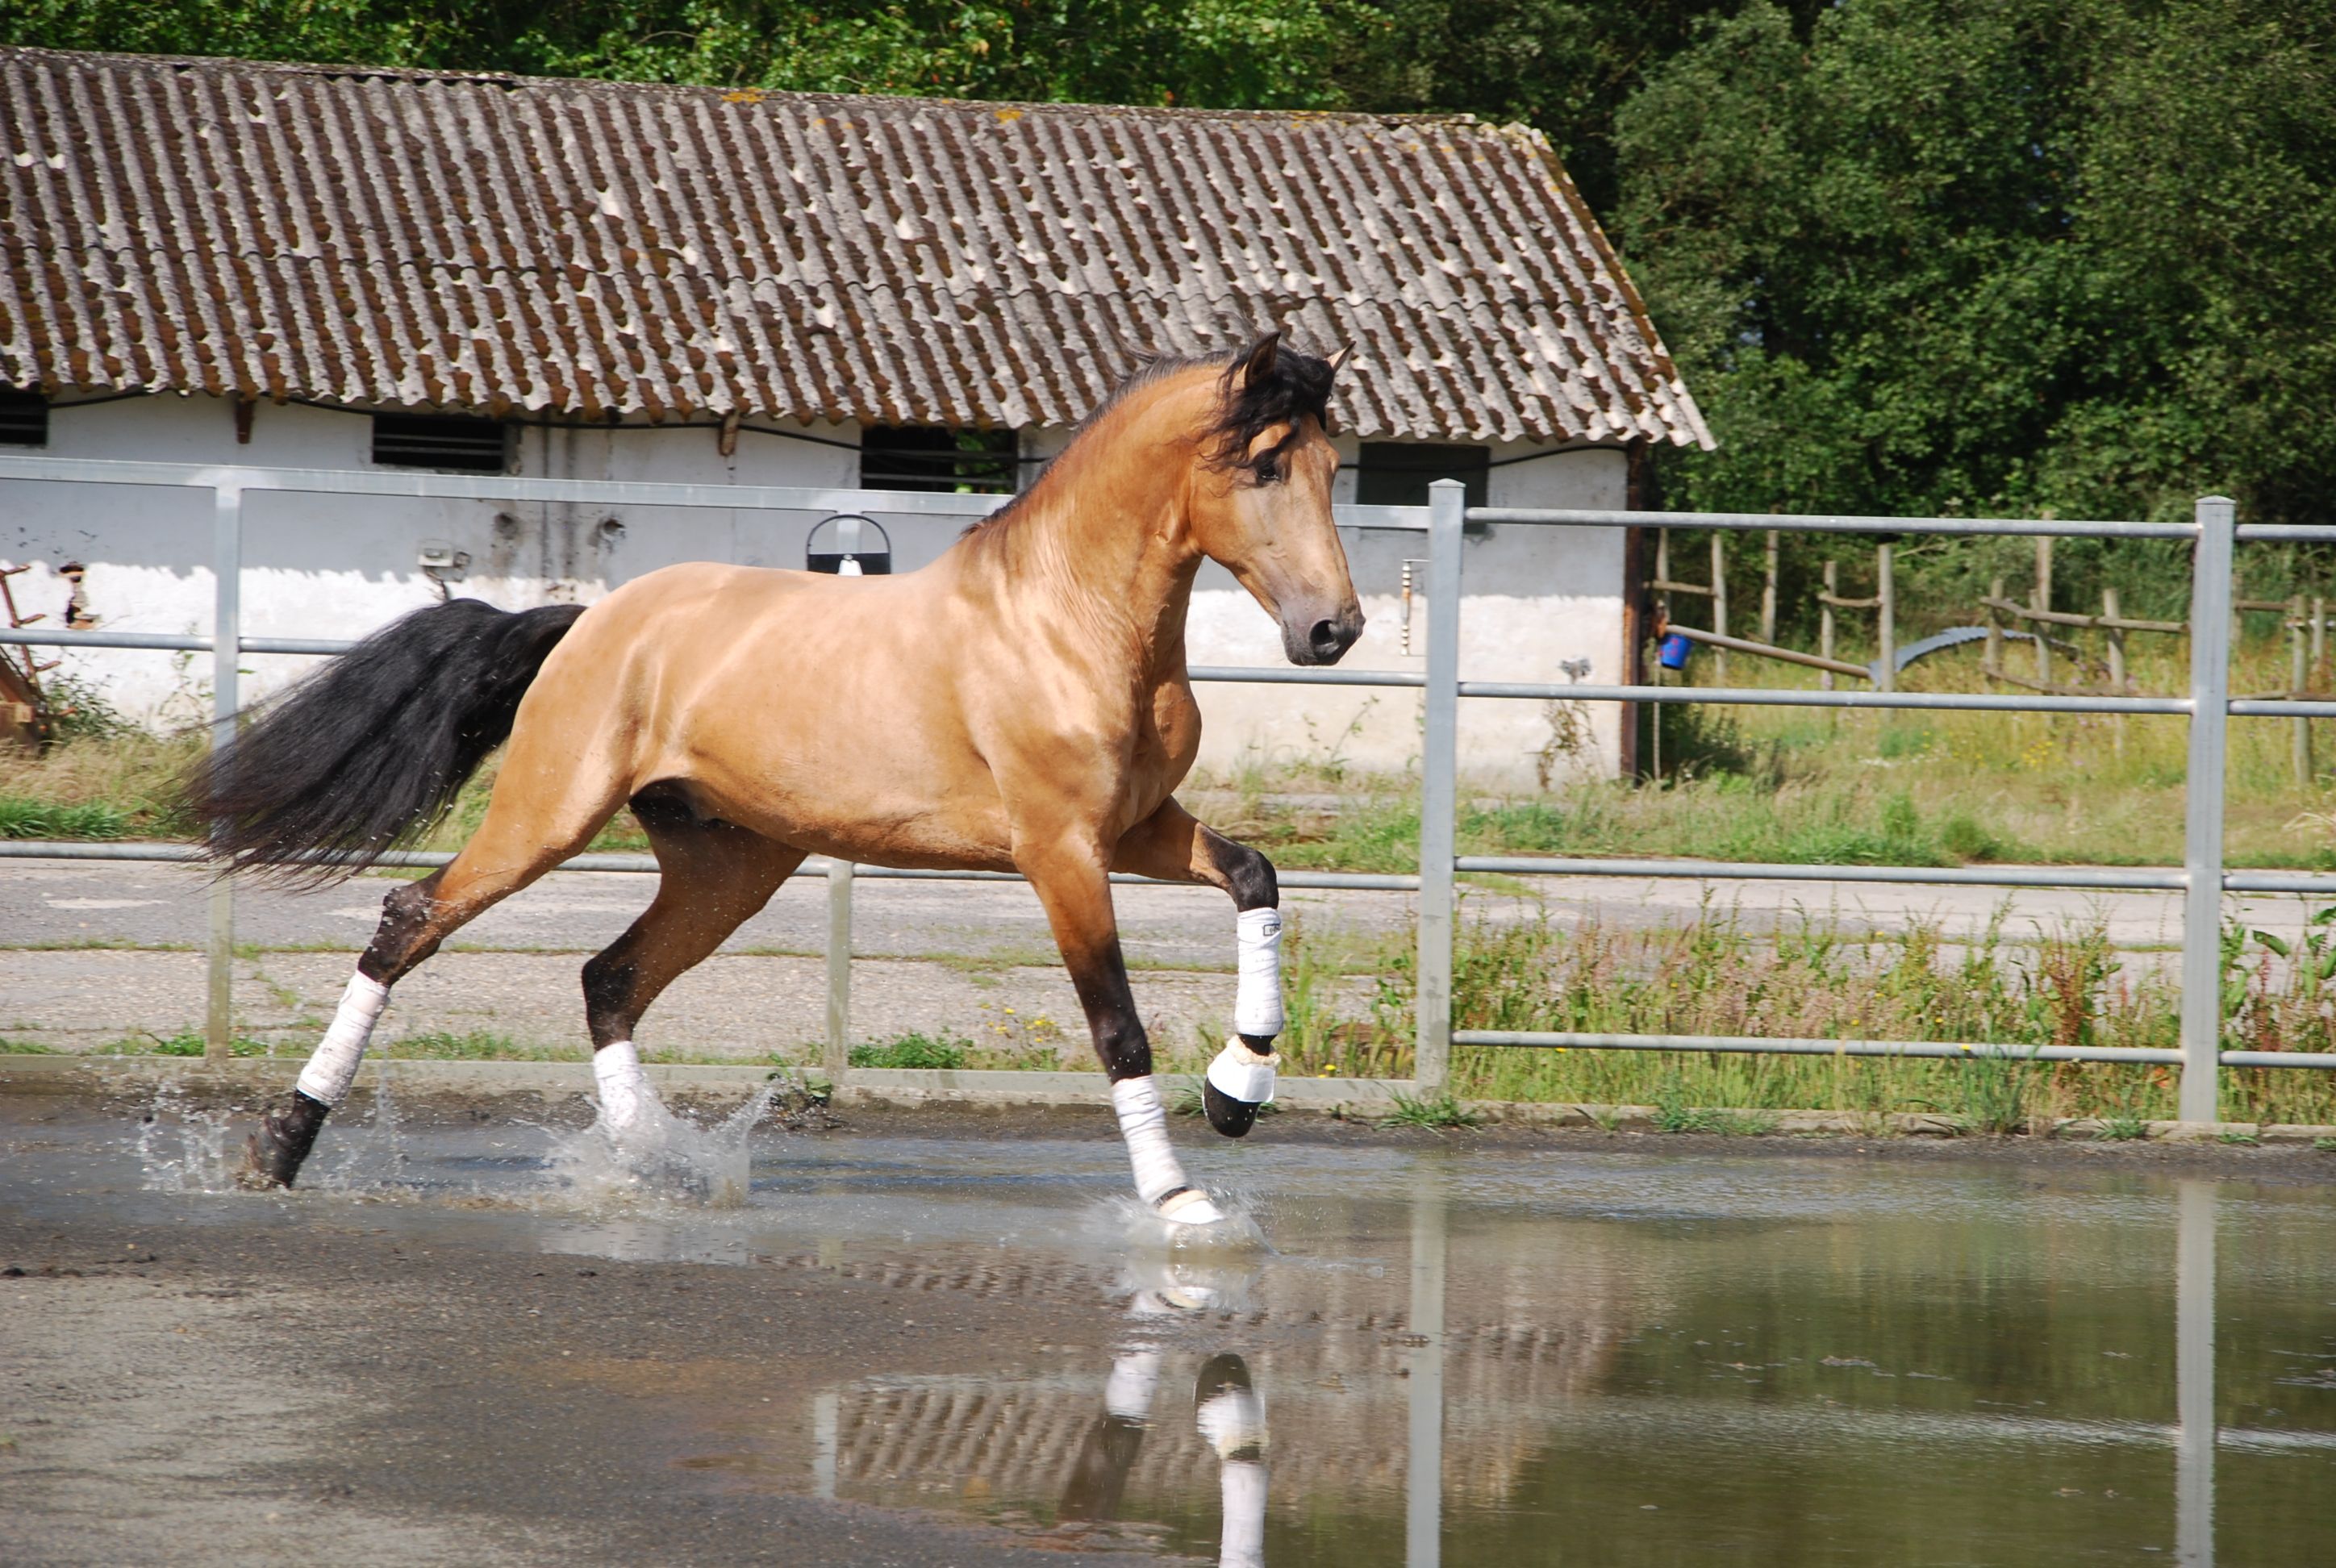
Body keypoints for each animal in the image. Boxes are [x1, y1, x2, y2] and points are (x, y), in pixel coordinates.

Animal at [187, 333, 1363, 1225]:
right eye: (1265, 465)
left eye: (1332, 467)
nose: (1333, 630)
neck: (1068, 622)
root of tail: (591, 622)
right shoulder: (1060, 852)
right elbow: (1117, 1026)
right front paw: (1181, 1204)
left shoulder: (1138, 828)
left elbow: (1254, 875)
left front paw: (1240, 1089)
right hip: (547, 817)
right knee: (411, 923)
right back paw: (280, 1148)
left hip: (730, 864)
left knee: (609, 979)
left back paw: (659, 1162)